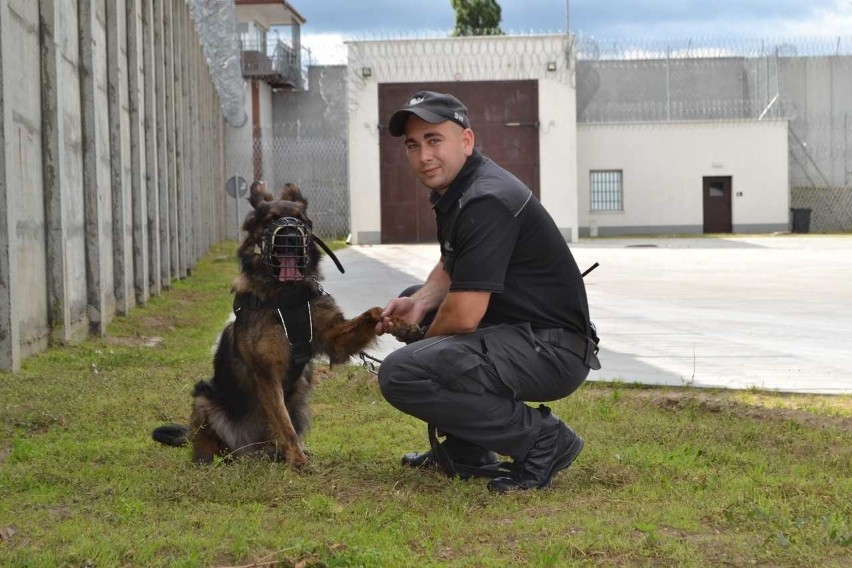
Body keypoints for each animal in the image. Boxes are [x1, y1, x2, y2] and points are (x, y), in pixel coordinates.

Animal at [155, 182, 422, 466]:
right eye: (272, 220)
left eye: (301, 221)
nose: (292, 237)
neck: (286, 296)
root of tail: (252, 450)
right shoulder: (267, 374)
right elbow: (284, 426)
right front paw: (298, 461)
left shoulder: (334, 338)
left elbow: (374, 311)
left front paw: (400, 323)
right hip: (205, 398)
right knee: (211, 446)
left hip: (301, 401)